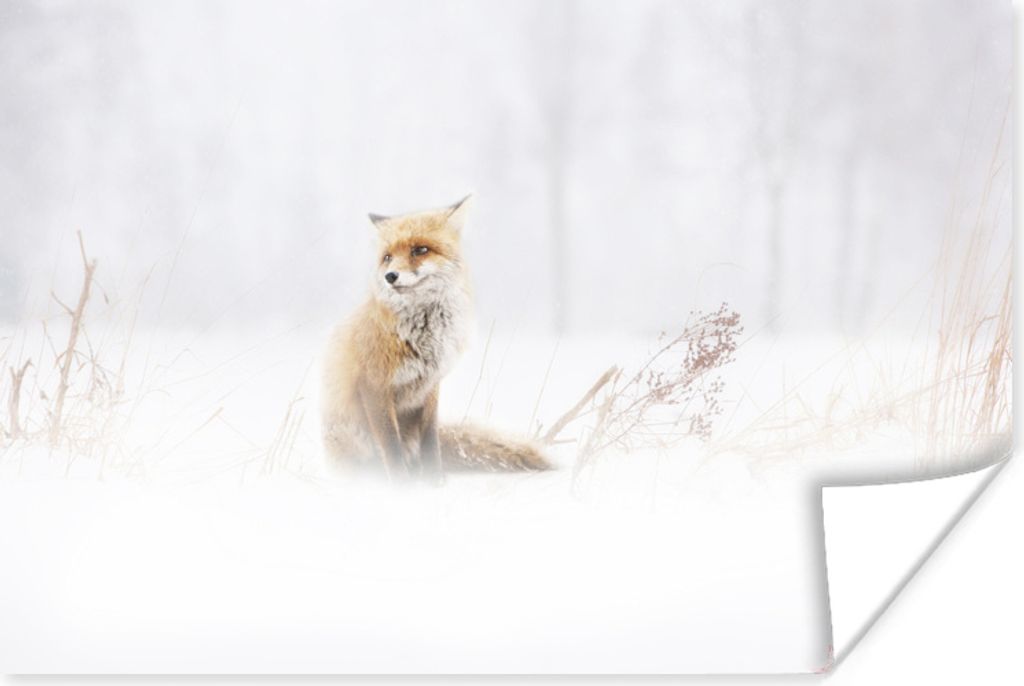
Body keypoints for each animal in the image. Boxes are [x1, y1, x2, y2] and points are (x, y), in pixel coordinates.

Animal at [321, 195, 550, 480]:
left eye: (420, 250)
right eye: (387, 257)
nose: (390, 276)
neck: (424, 338)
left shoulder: (431, 386)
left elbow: (430, 439)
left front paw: (435, 481)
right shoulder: (374, 385)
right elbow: (391, 446)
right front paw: (401, 485)